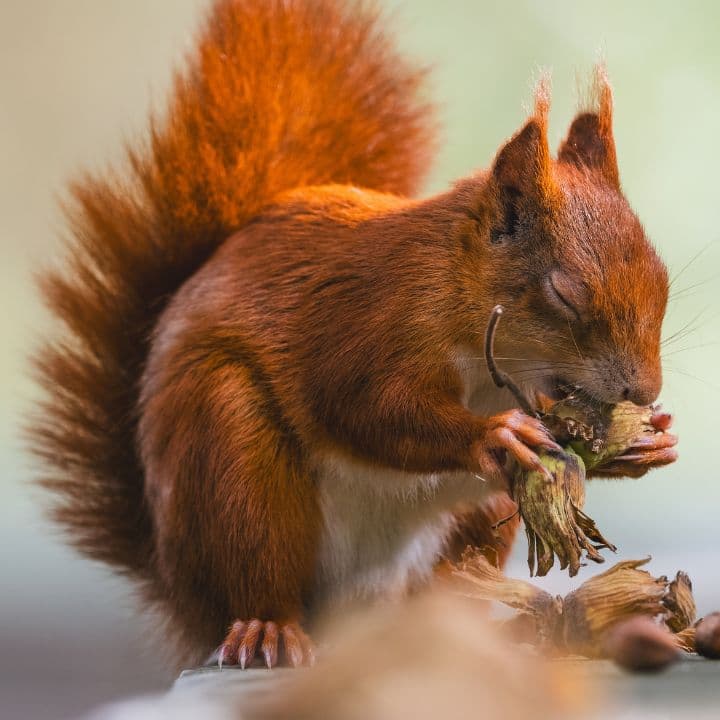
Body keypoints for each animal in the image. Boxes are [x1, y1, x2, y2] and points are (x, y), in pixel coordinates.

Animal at [30, 0, 678, 669]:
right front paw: (495, 436)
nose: (645, 392)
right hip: (232, 461)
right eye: (564, 294)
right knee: (258, 567)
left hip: (469, 530)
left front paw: (644, 445)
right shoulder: (366, 326)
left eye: (663, 279)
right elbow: (366, 408)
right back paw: (267, 628)